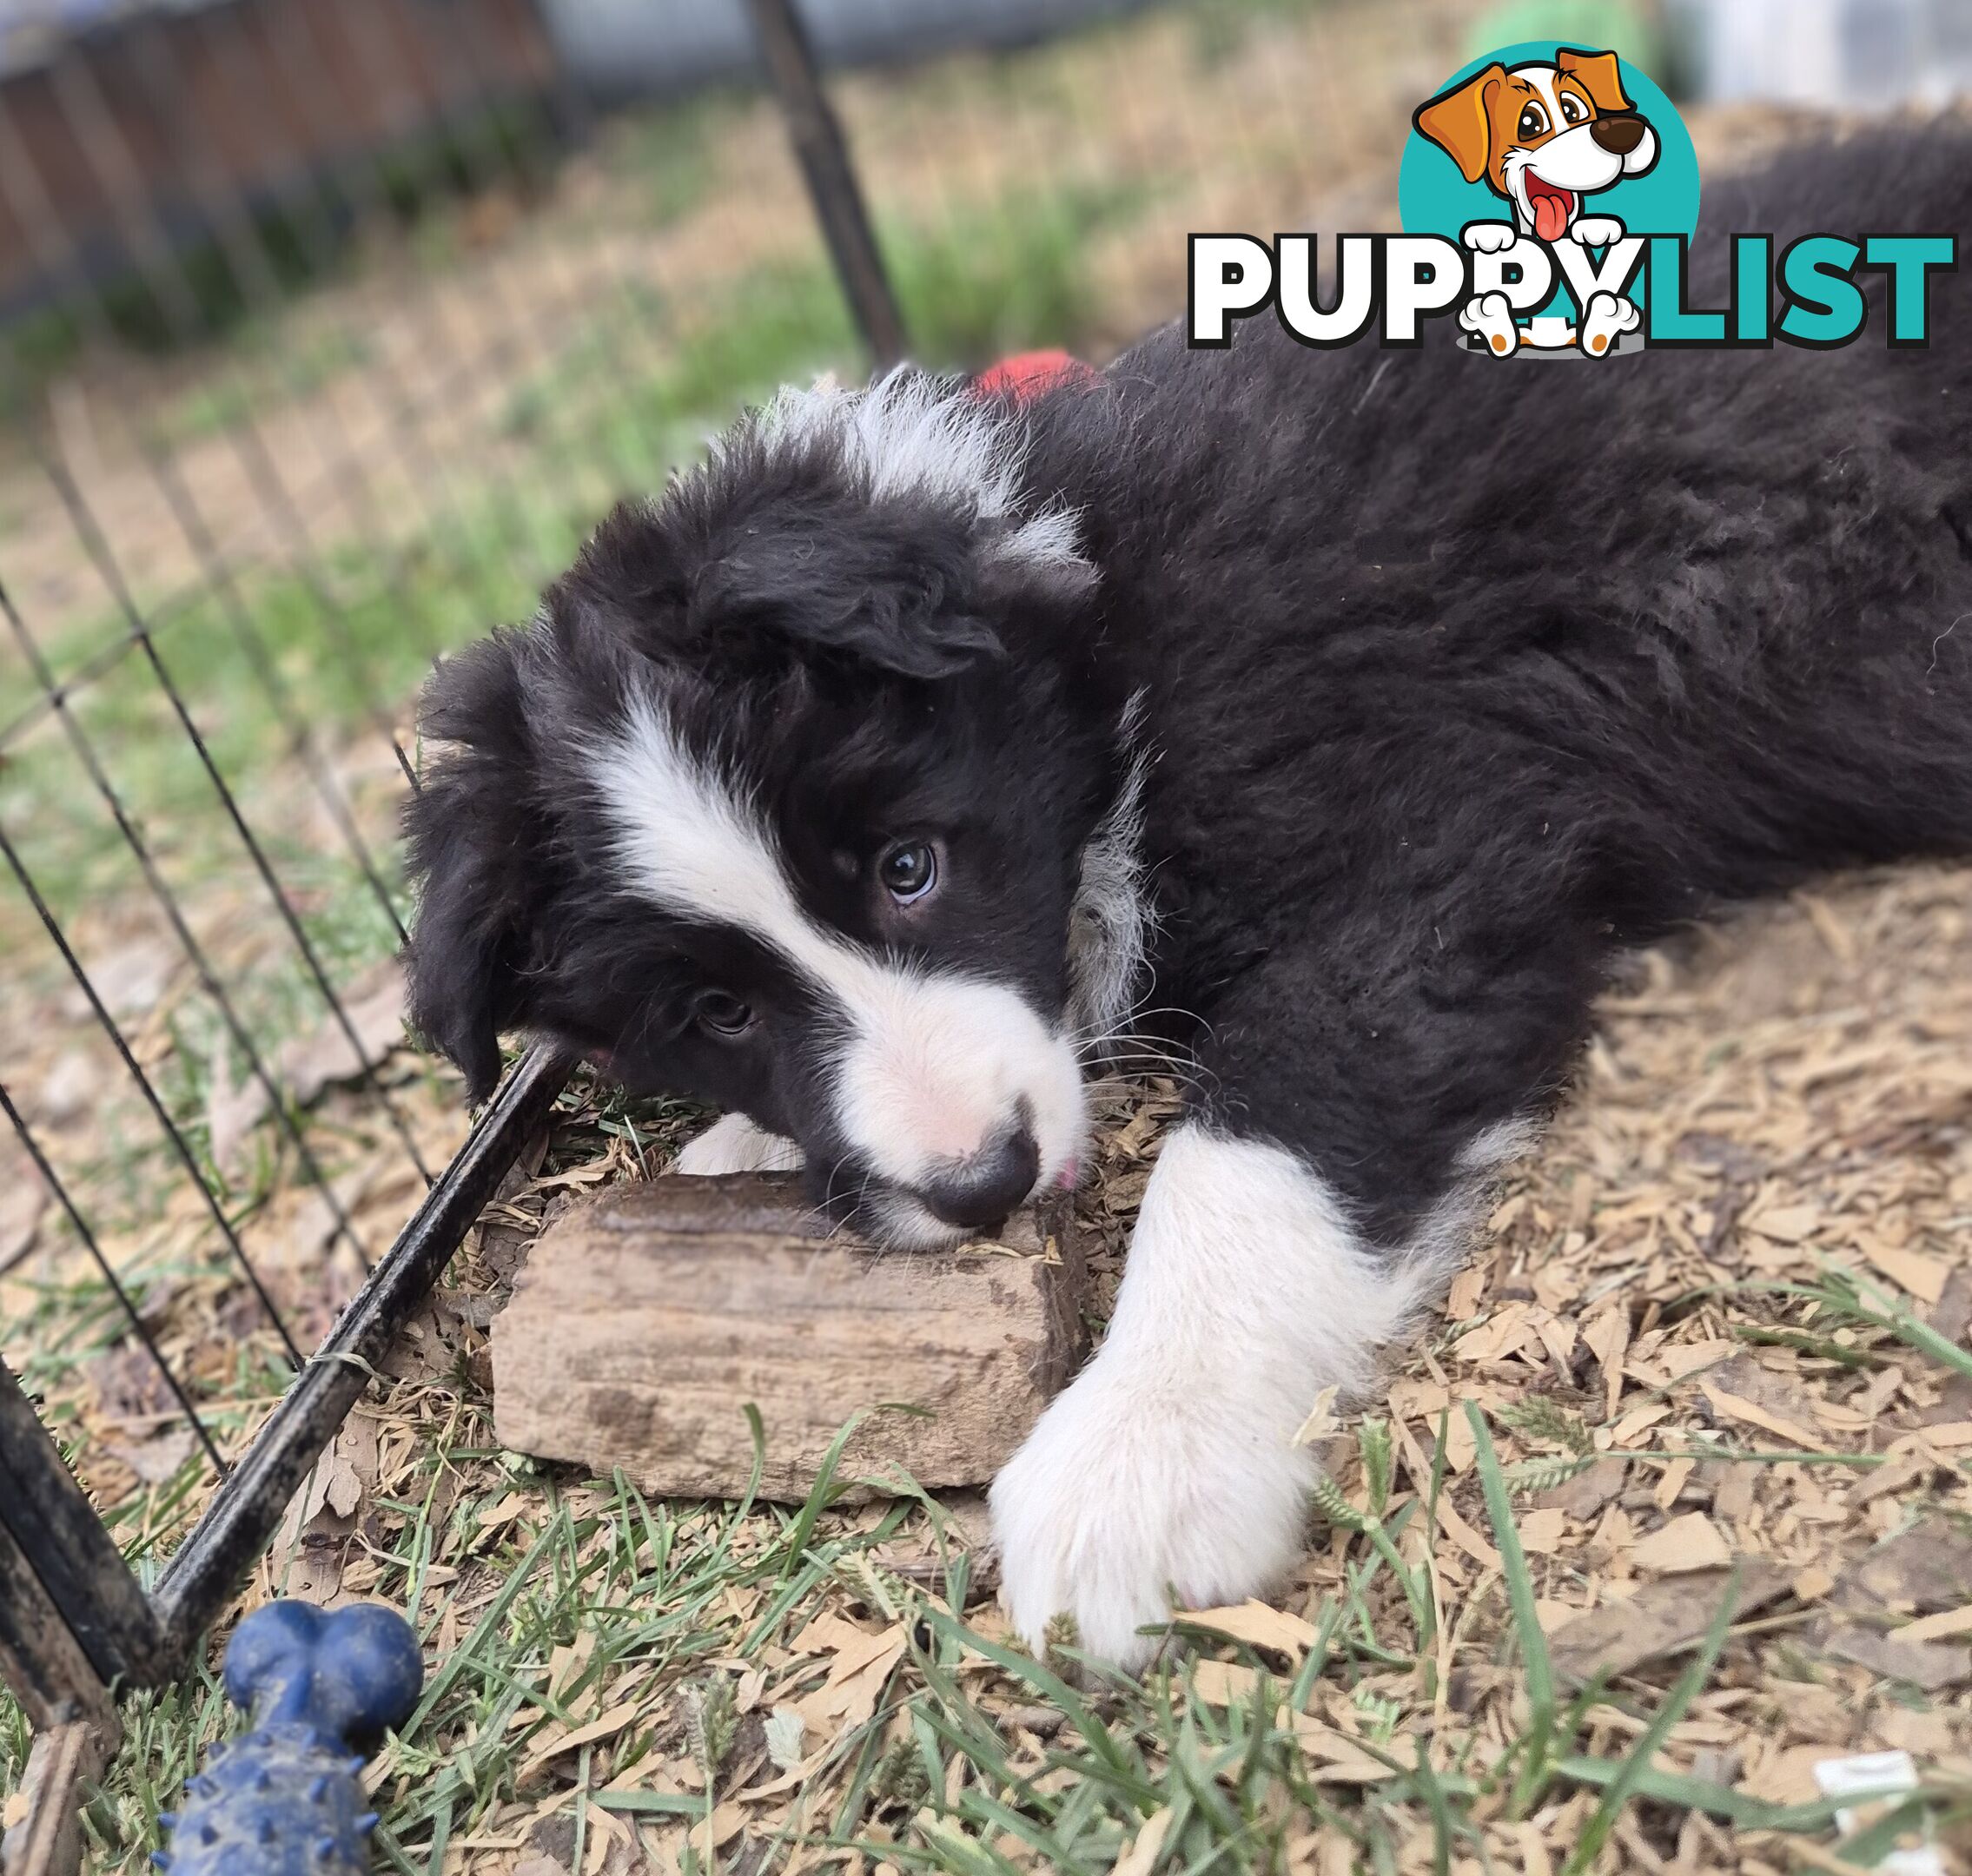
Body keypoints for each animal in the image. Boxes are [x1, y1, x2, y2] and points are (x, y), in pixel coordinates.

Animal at [404, 135, 1972, 1671]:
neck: (1103, 630)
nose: (977, 1186)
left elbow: (1260, 1134)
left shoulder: (1439, 843)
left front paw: (1139, 1457)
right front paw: (743, 1143)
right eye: (717, 1011)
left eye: (911, 868)